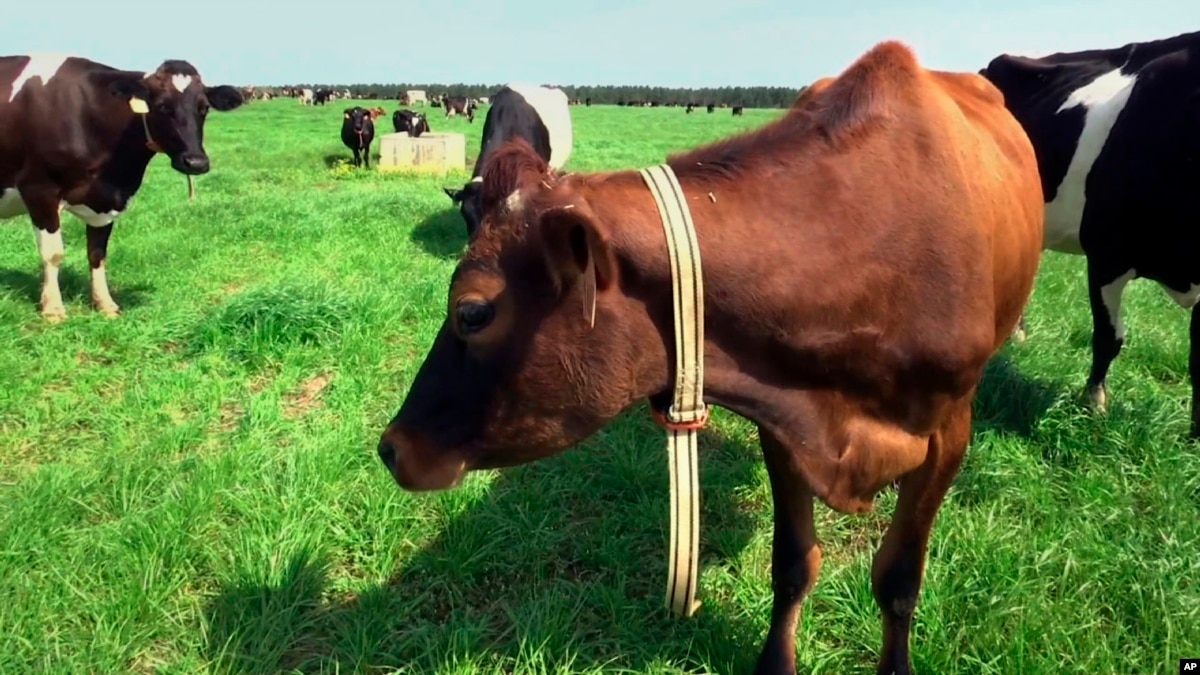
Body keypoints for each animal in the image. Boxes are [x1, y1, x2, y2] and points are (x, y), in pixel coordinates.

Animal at [0, 52, 243, 319]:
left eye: (204, 108)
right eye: (162, 106)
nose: (196, 162)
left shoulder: (105, 200)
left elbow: (97, 253)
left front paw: (105, 303)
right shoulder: (39, 189)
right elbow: (53, 254)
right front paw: (53, 308)